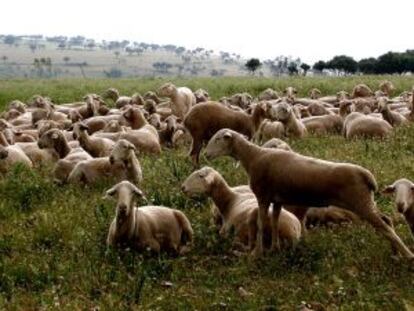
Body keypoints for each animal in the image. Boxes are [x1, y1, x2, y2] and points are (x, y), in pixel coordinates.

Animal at [205, 128, 414, 260]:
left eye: (218, 139)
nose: (206, 155)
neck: (254, 156)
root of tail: (366, 175)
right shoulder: (277, 199)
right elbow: (274, 221)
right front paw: (274, 248)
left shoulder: (263, 196)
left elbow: (261, 224)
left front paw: (257, 253)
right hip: (366, 202)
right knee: (387, 220)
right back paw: (395, 252)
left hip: (360, 202)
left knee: (385, 227)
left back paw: (407, 255)